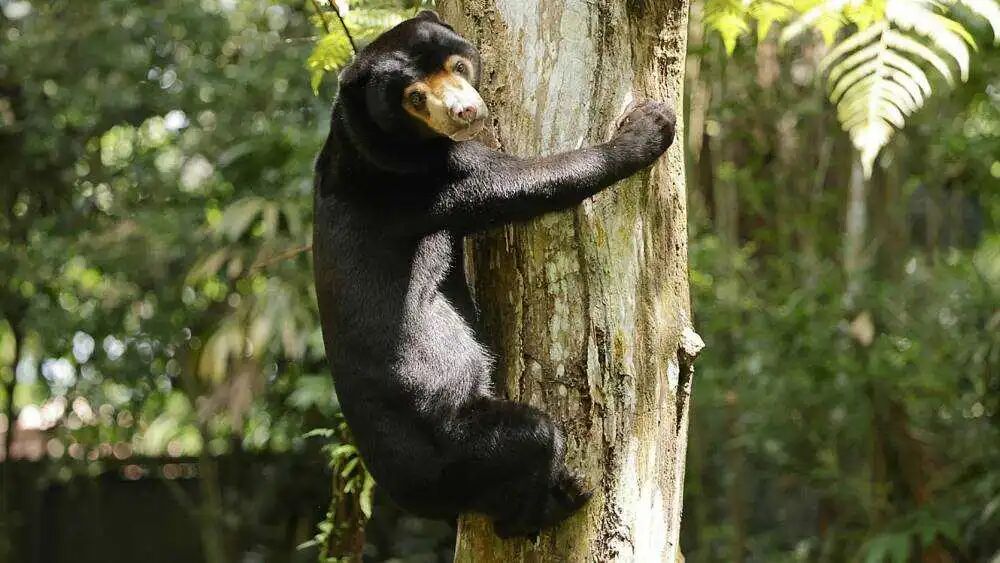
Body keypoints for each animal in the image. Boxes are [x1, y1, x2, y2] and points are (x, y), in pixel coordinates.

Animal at [312, 10, 675, 538]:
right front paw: (650, 127)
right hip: (458, 444)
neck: (359, 136)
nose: (465, 112)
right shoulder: (429, 180)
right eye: (414, 97)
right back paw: (560, 497)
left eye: (459, 66)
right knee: (532, 442)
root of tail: (406, 493)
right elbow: (530, 180)